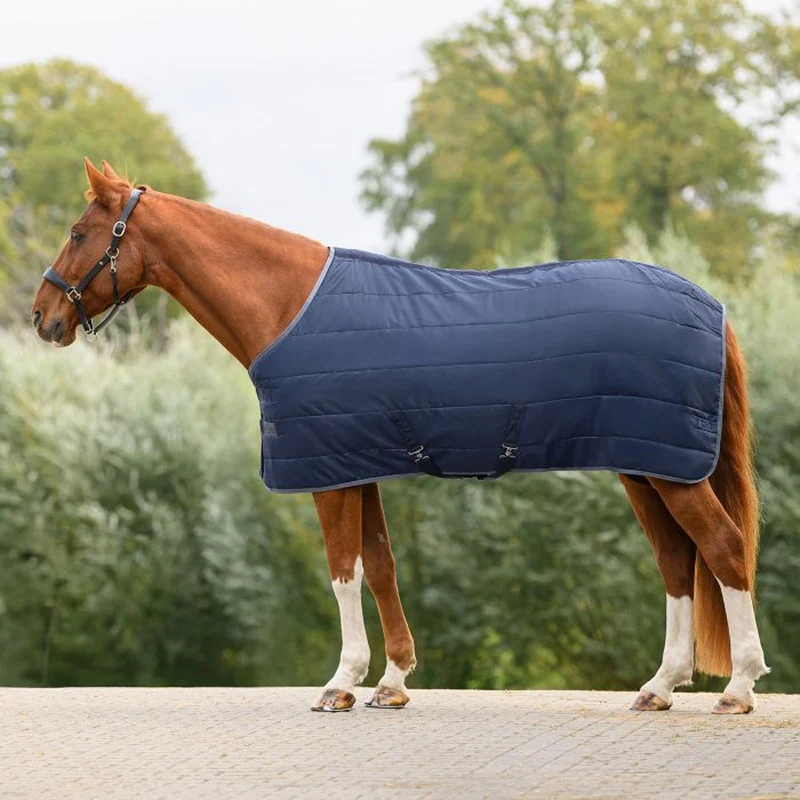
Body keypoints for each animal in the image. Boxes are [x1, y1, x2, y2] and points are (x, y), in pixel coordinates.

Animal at [31, 159, 769, 714]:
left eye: (78, 231)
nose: (42, 317)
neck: (288, 306)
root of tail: (712, 305)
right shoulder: (358, 466)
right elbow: (380, 566)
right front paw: (392, 682)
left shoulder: (328, 474)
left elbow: (343, 570)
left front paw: (341, 682)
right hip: (646, 466)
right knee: (677, 562)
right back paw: (659, 687)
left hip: (670, 470)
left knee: (723, 548)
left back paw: (737, 687)